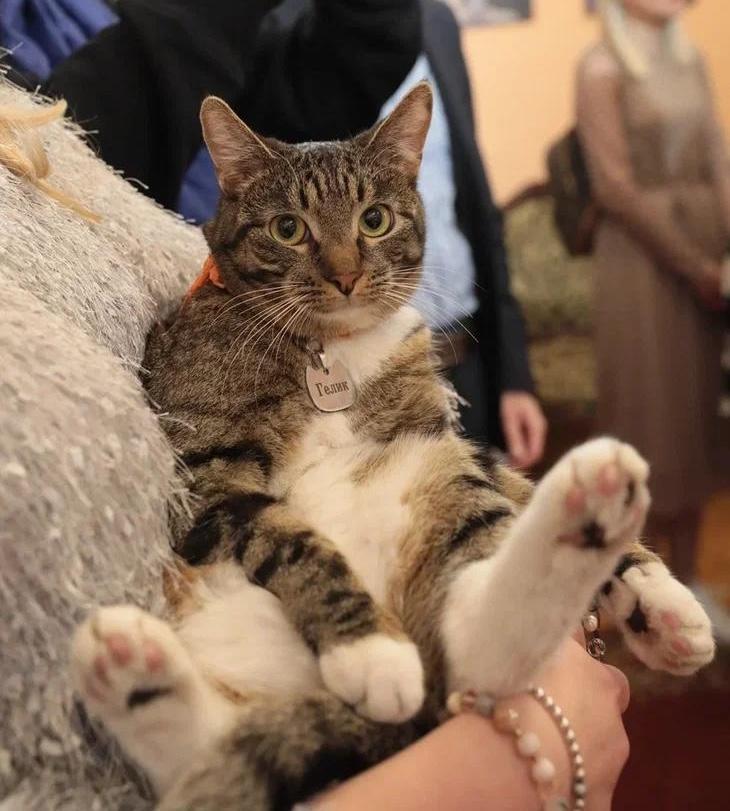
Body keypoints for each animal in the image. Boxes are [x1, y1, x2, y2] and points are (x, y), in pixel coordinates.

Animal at [70, 83, 715, 811]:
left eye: (374, 220)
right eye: (289, 228)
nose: (347, 276)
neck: (330, 351)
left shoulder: (435, 430)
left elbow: (512, 481)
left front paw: (656, 598)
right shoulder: (205, 480)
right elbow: (294, 541)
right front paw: (368, 649)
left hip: (433, 471)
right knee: (470, 651)